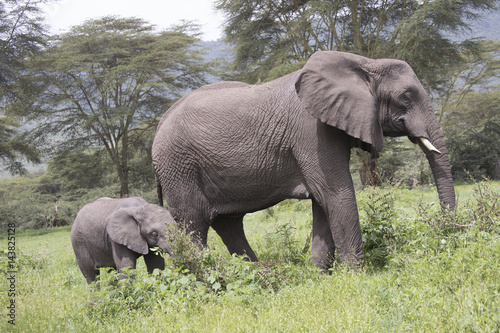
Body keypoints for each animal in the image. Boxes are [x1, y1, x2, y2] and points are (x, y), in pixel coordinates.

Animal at [150, 50, 456, 268]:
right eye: (406, 98)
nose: (447, 234)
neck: (365, 62)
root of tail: (160, 123)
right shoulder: (311, 130)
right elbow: (336, 193)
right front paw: (357, 277)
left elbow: (324, 202)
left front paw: (320, 275)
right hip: (178, 165)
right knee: (193, 224)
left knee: (228, 224)